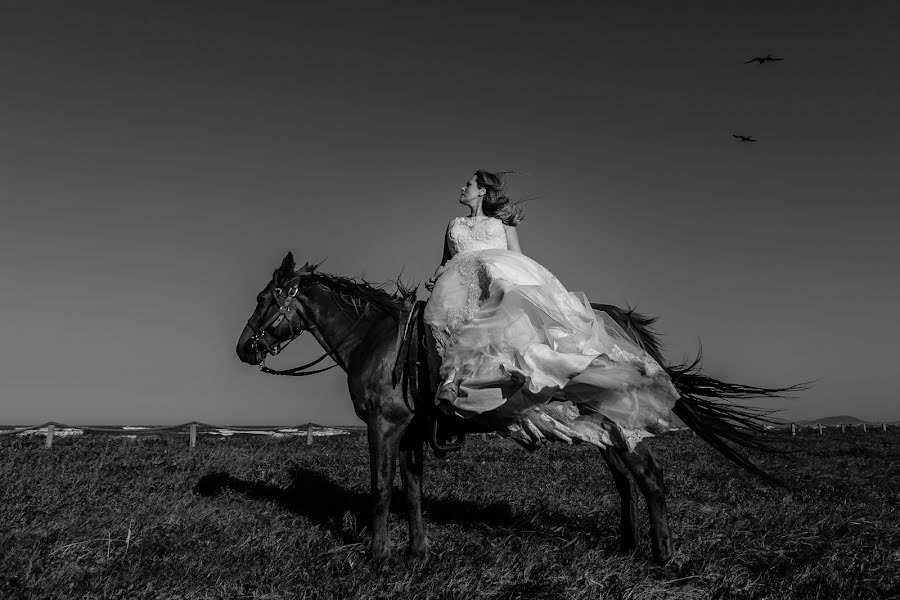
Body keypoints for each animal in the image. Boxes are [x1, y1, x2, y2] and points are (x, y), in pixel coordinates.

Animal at [236, 252, 800, 564]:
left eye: (265, 298)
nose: (244, 349)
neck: (376, 339)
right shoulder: (413, 431)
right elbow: (411, 489)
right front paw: (417, 554)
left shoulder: (385, 425)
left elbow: (380, 488)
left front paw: (379, 557)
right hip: (604, 428)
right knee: (626, 481)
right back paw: (628, 545)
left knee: (651, 479)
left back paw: (663, 557)